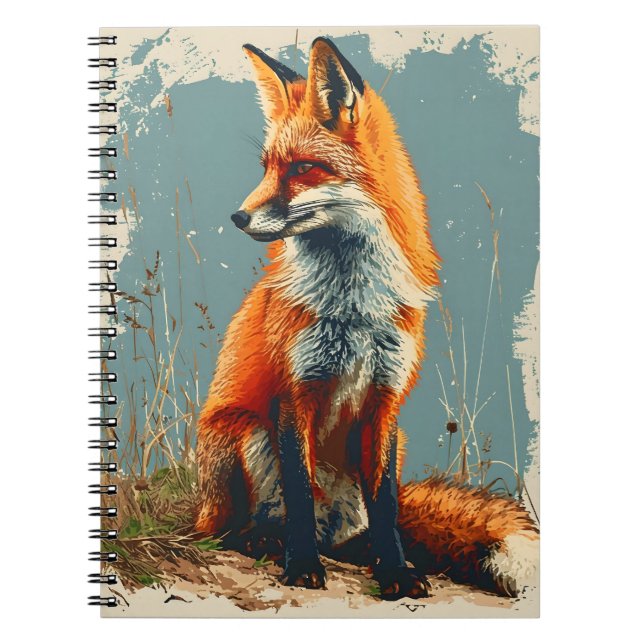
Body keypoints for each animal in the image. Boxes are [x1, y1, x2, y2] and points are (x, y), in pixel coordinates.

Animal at [195, 37, 539, 601]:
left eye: (302, 168)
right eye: (267, 167)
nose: (237, 217)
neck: (353, 308)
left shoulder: (385, 400)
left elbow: (387, 508)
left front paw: (395, 571)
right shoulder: (294, 393)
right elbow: (299, 490)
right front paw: (301, 565)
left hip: (386, 452)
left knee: (362, 528)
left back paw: (358, 554)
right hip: (245, 433)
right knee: (232, 529)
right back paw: (266, 542)